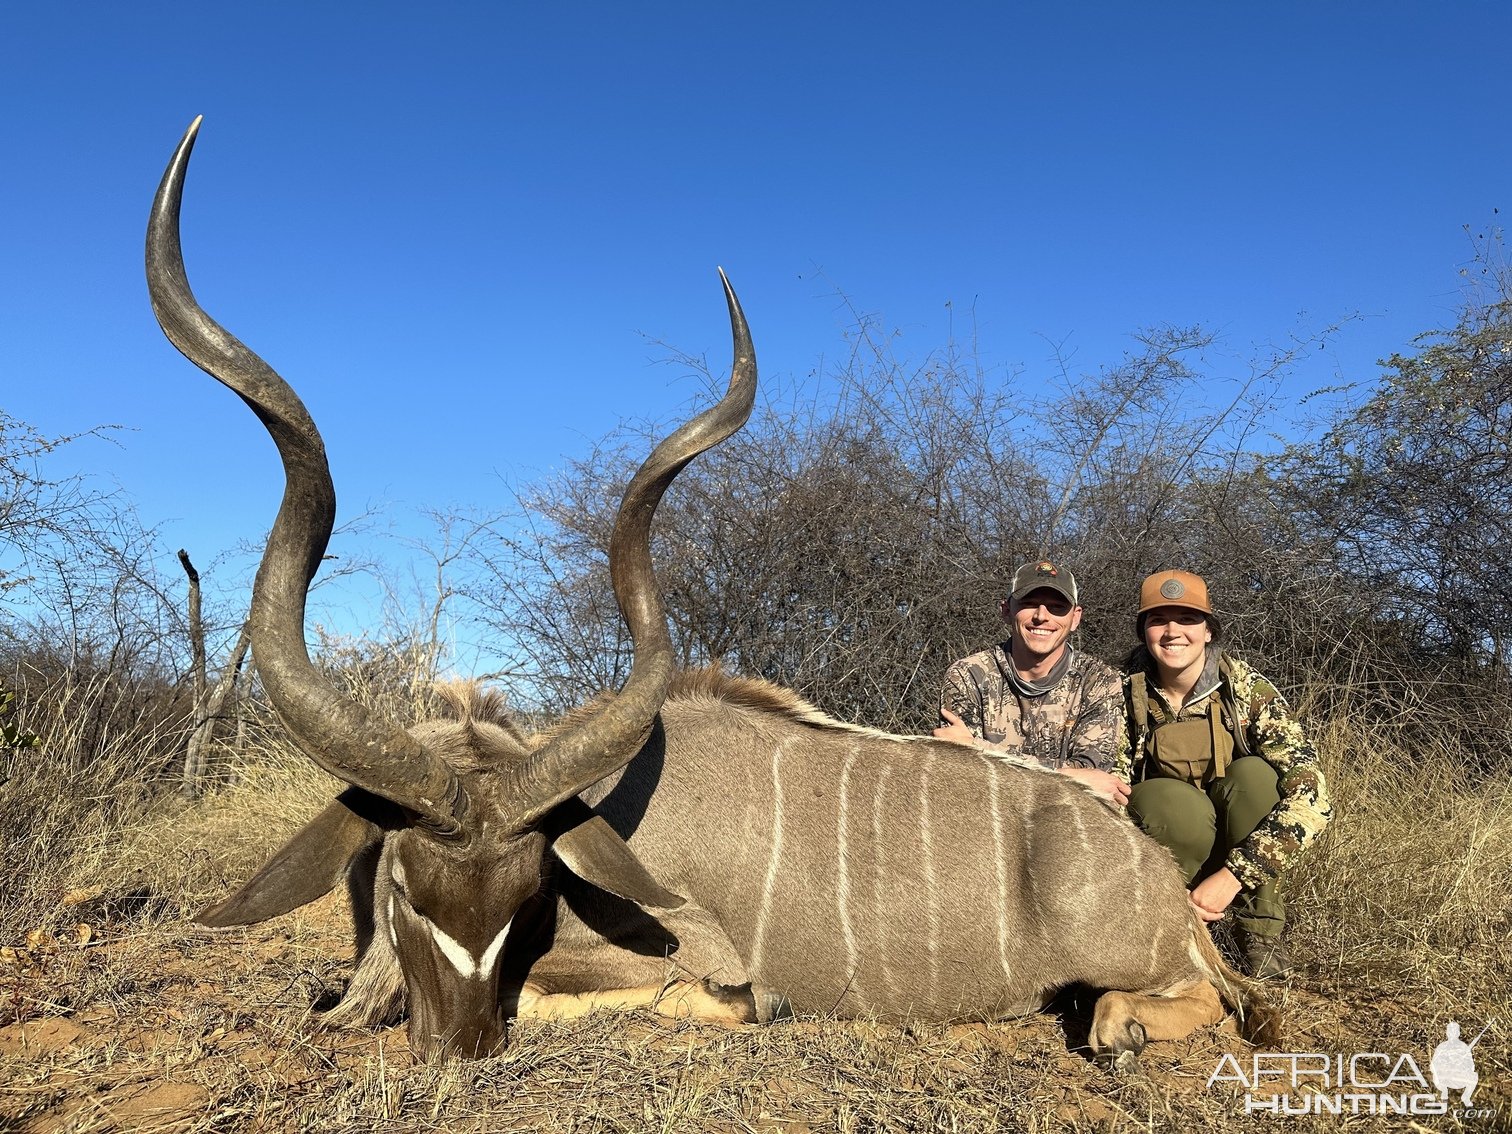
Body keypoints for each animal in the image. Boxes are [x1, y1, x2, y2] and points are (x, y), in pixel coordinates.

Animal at [147, 120, 1276, 1070]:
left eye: (532, 890)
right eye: (402, 887)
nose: (458, 1044)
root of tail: (1159, 885)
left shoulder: (668, 950)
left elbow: (635, 992)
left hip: (1157, 968)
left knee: (1199, 1002)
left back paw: (1116, 1023)